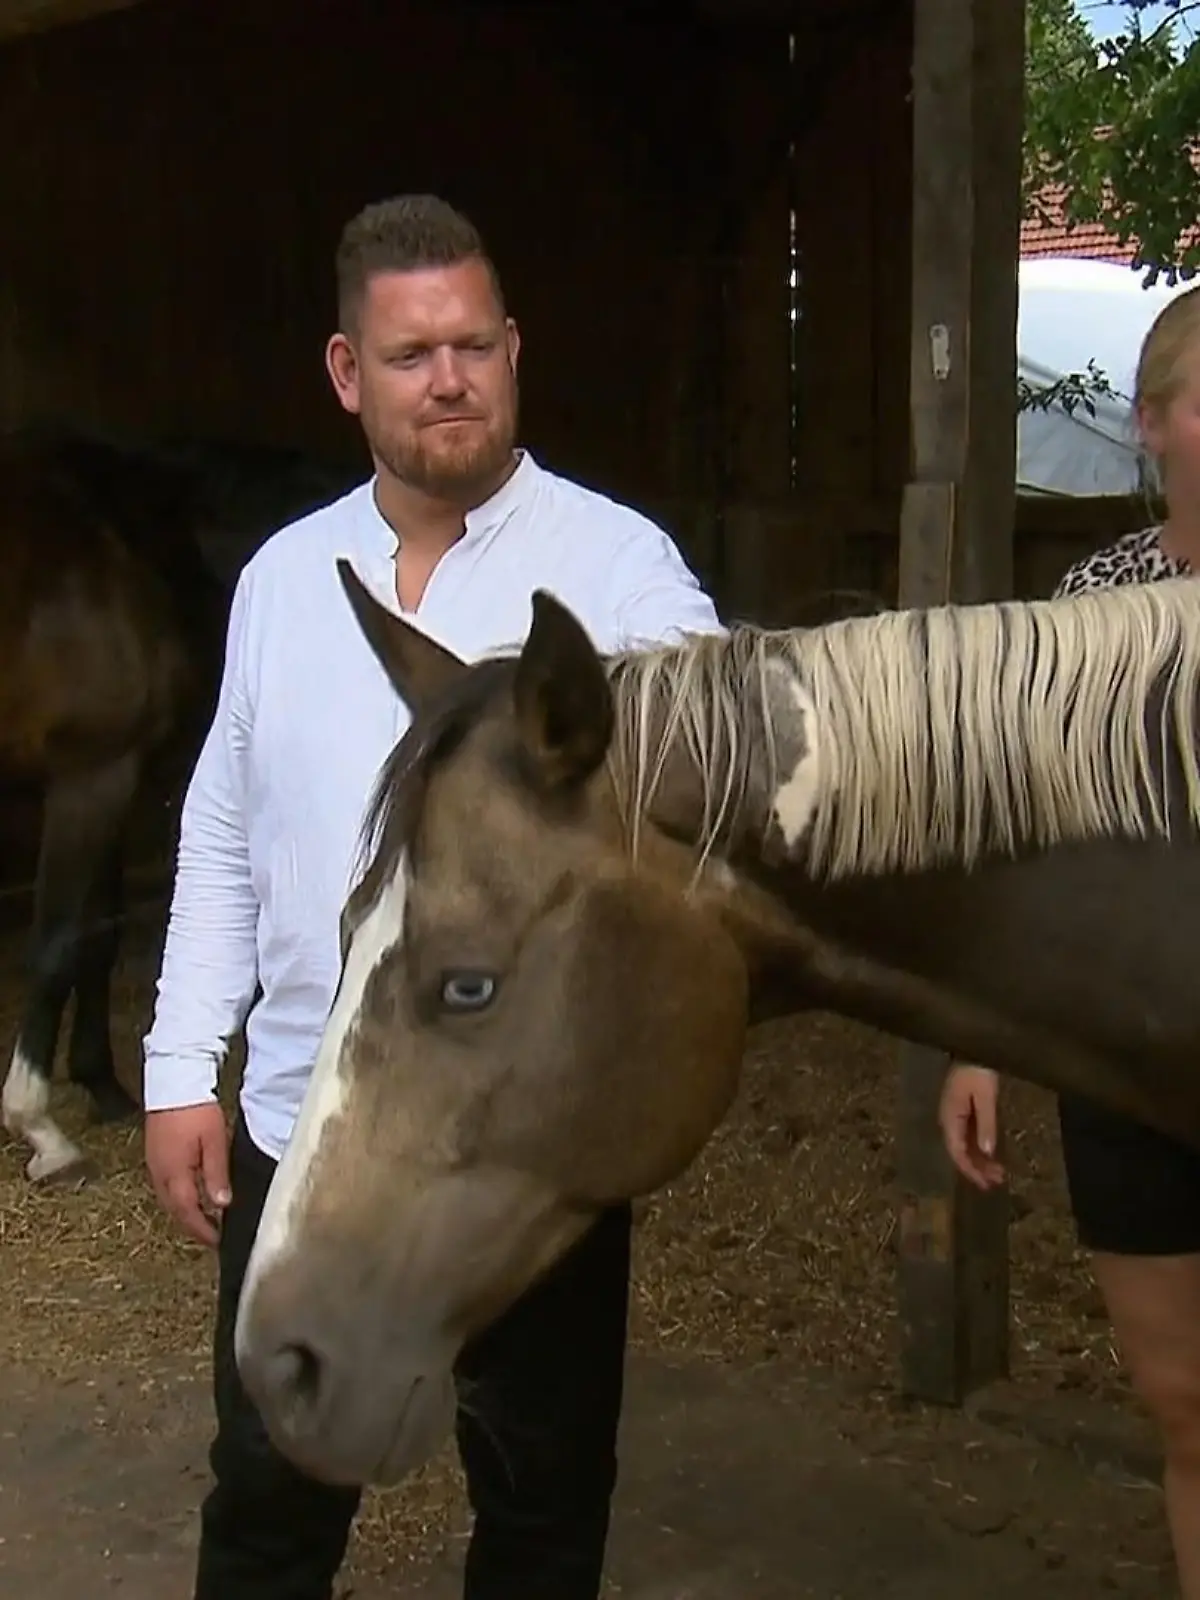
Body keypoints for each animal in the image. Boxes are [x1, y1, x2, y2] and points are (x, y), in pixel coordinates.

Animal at [0, 422, 359, 1185]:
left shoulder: (114, 774)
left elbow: (95, 937)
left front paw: (101, 1082)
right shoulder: (90, 777)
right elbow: (56, 944)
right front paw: (40, 1126)